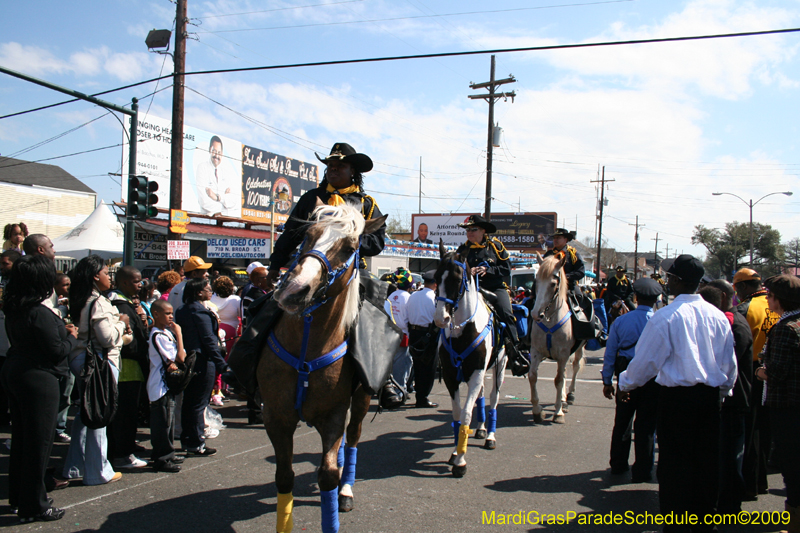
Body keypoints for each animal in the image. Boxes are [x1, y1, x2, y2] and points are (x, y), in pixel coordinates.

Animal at [260, 204, 388, 532]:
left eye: (351, 248)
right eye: (307, 235)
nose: (294, 290)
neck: (308, 342)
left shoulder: (333, 414)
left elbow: (328, 473)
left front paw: (339, 492)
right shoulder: (276, 417)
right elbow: (284, 476)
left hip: (361, 400)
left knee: (352, 438)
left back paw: (346, 489)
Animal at [434, 243, 510, 476]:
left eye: (457, 279)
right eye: (436, 277)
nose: (441, 319)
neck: (464, 330)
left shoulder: (476, 373)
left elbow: (467, 413)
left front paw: (460, 462)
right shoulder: (451, 376)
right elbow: (457, 414)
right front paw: (455, 452)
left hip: (499, 367)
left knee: (493, 398)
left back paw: (491, 437)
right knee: (483, 397)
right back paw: (482, 429)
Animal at [528, 254, 584, 424]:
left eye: (553, 284)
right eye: (536, 281)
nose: (535, 314)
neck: (549, 320)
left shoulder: (563, 354)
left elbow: (558, 380)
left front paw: (558, 412)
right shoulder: (536, 351)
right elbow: (533, 376)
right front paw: (537, 410)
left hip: (579, 349)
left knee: (575, 367)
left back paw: (569, 396)